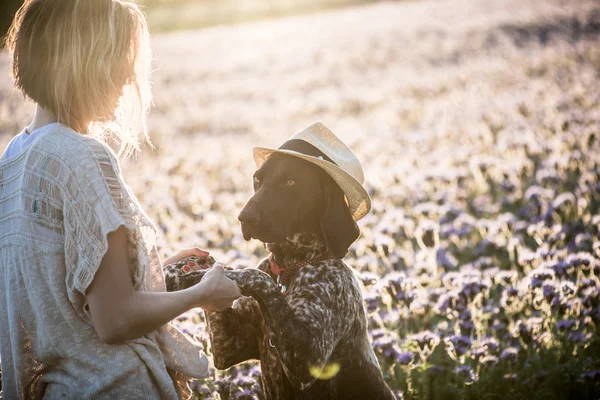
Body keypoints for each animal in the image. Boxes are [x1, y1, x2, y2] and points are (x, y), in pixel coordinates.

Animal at [164, 123, 394, 398]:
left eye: (291, 182)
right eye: (257, 179)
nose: (244, 217)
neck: (290, 266)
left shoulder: (307, 357)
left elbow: (255, 276)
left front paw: (211, 274)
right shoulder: (230, 349)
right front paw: (183, 267)